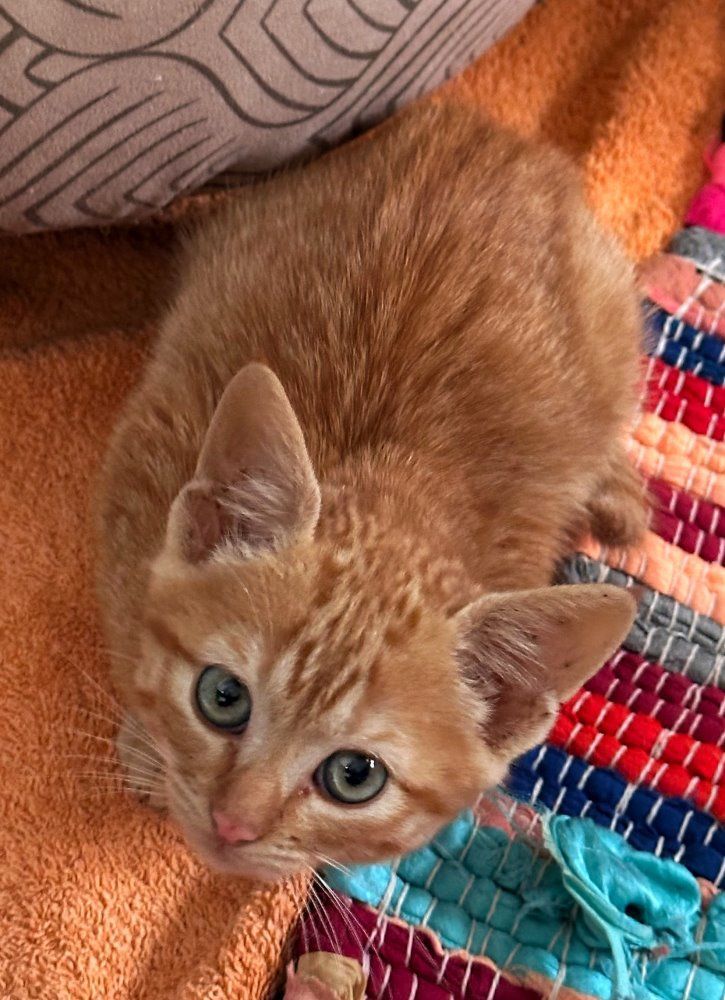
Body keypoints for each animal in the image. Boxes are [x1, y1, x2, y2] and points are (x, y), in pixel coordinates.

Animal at [95, 99, 645, 882]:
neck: (400, 489)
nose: (233, 824)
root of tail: (495, 133)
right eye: (222, 698)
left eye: (354, 777)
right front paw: (150, 750)